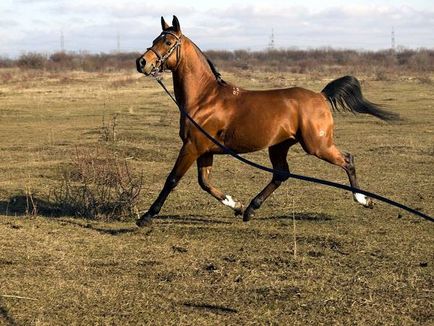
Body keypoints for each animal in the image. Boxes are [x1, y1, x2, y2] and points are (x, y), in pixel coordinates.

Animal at [135, 15, 396, 227]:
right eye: (155, 39)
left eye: (168, 43)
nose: (142, 63)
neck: (204, 98)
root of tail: (320, 96)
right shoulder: (204, 150)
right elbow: (205, 183)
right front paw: (236, 205)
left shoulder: (192, 146)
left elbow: (172, 179)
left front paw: (146, 217)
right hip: (279, 146)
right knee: (281, 174)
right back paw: (250, 209)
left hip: (317, 146)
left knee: (347, 160)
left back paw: (364, 200)